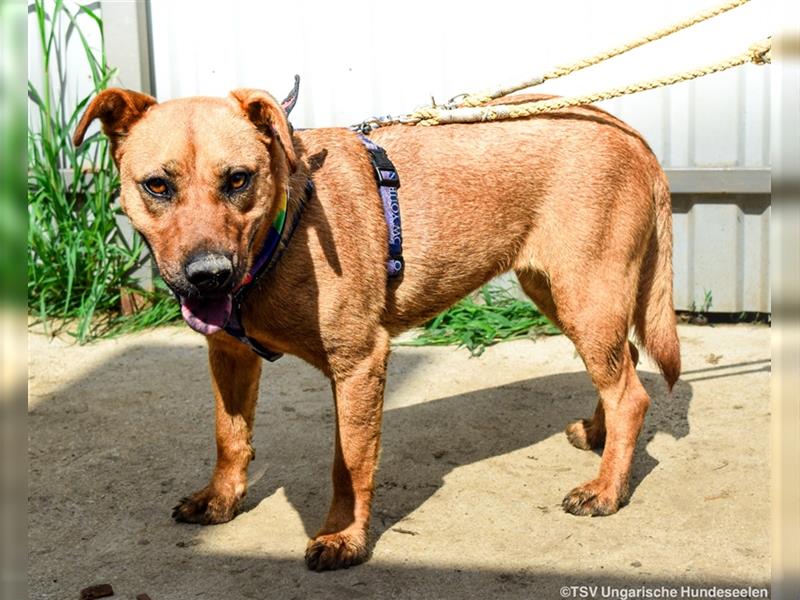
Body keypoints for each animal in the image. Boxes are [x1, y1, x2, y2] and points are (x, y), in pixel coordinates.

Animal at [72, 88, 680, 572]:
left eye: (238, 179)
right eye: (156, 186)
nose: (208, 276)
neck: (287, 225)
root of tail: (635, 137)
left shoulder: (359, 362)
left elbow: (349, 462)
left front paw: (343, 537)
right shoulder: (228, 355)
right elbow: (230, 435)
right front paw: (222, 499)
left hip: (586, 295)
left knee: (631, 394)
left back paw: (606, 489)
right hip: (560, 293)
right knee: (623, 365)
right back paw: (600, 439)